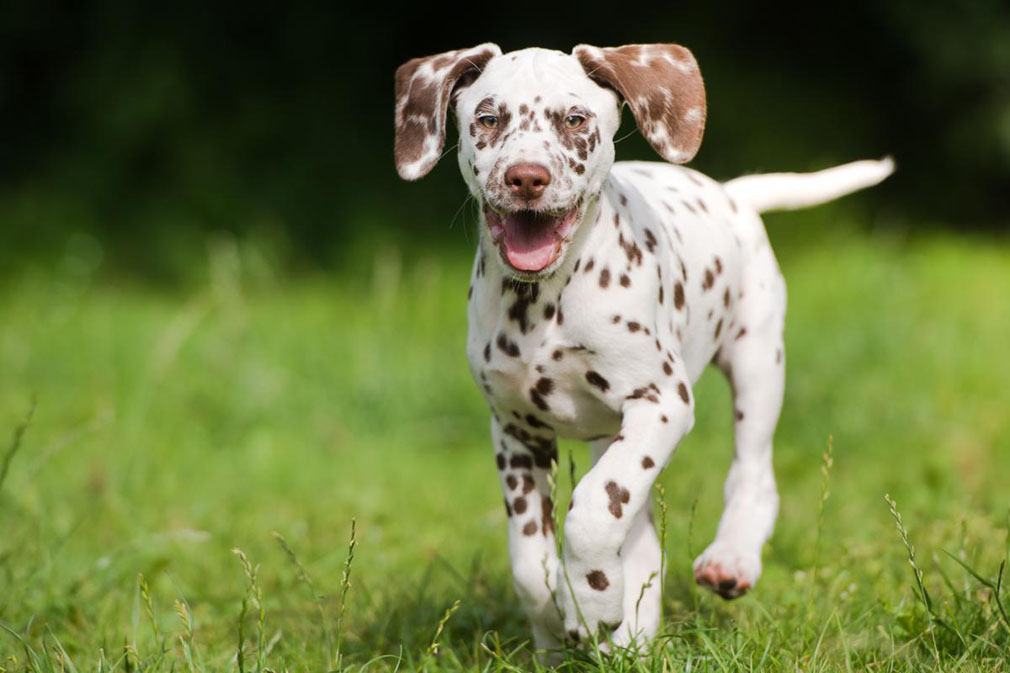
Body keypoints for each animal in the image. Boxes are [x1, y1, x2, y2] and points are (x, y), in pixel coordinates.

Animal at [391, 41, 892, 650]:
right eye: (487, 119)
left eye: (575, 120)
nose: (526, 178)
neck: (544, 305)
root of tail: (730, 194)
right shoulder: (515, 432)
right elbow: (532, 562)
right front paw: (562, 620)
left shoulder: (662, 403)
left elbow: (591, 512)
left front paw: (587, 603)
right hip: (615, 436)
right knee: (641, 535)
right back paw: (630, 631)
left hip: (756, 366)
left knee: (751, 474)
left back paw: (729, 560)